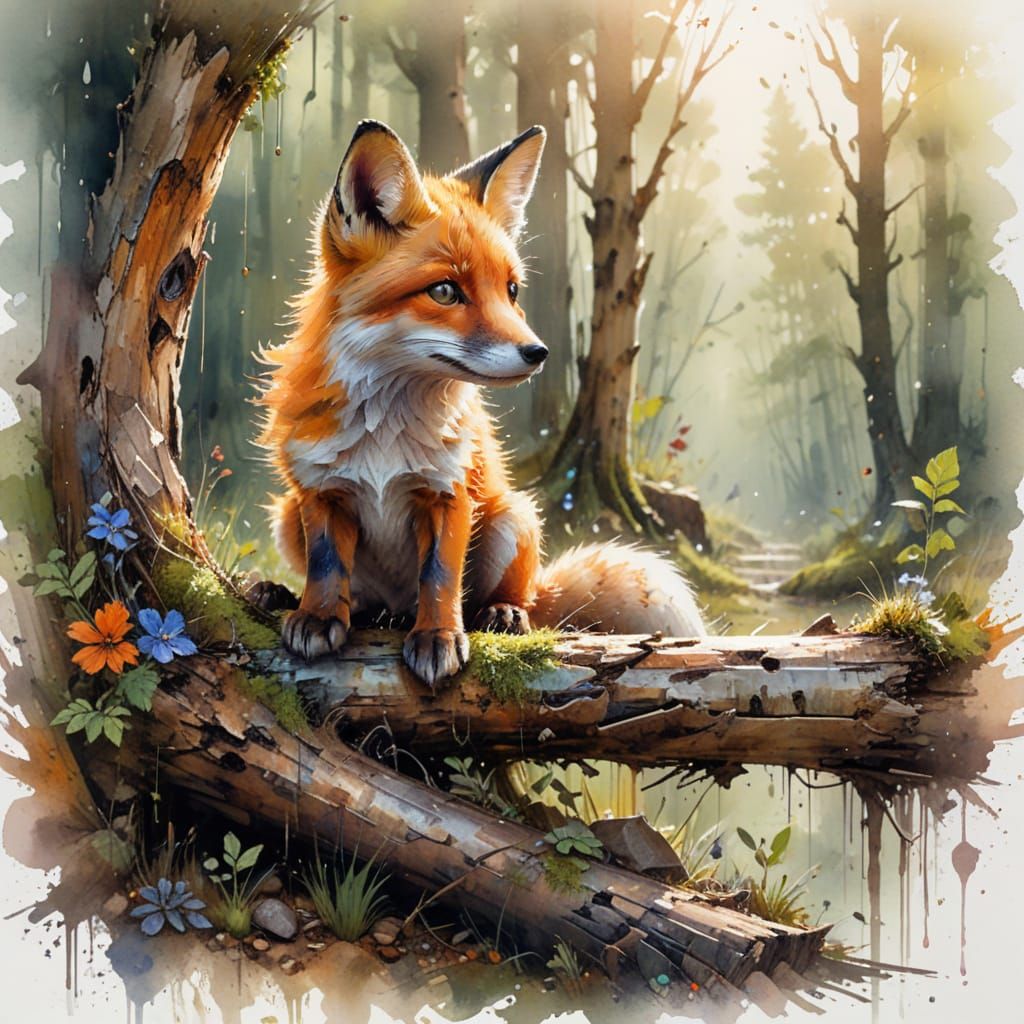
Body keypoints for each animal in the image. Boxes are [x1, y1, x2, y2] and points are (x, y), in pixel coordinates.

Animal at [254, 119, 704, 686]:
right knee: (363, 599)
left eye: (511, 291)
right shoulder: (320, 491)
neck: (385, 432)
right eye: (445, 291)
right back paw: (294, 597)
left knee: (510, 600)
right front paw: (317, 615)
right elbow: (327, 565)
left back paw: (501, 613)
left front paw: (438, 637)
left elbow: (441, 578)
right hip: (285, 517)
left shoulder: (450, 493)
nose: (538, 353)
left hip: (514, 516)